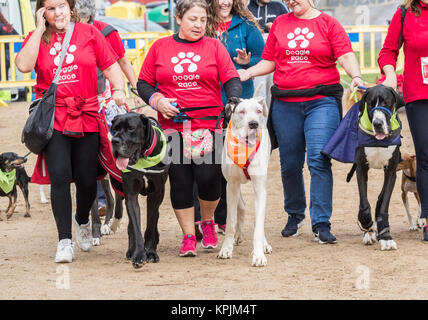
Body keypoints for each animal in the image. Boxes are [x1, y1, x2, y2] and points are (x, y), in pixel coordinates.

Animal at [110, 112, 169, 268]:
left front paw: (151, 252)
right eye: (115, 129)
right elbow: (136, 228)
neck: (142, 156)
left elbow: (150, 225)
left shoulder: (156, 194)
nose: (114, 141)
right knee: (131, 225)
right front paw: (138, 255)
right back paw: (131, 250)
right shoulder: (130, 195)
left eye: (131, 128)